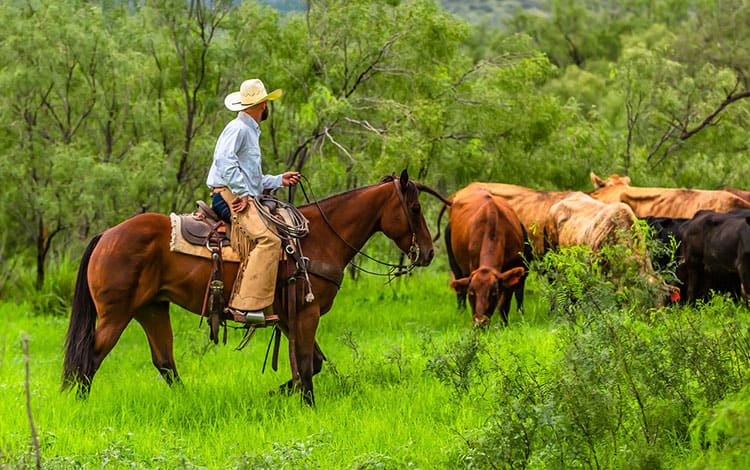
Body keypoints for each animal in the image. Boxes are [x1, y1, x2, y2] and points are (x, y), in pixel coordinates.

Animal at [64, 171, 440, 406]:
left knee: (164, 362)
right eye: (415, 208)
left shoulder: (289, 318)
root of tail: (107, 234)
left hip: (151, 309)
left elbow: (308, 365)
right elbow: (306, 365)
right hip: (116, 314)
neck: (319, 237)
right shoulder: (307, 313)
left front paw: (279, 396)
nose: (428, 252)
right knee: (89, 359)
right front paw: (307, 406)